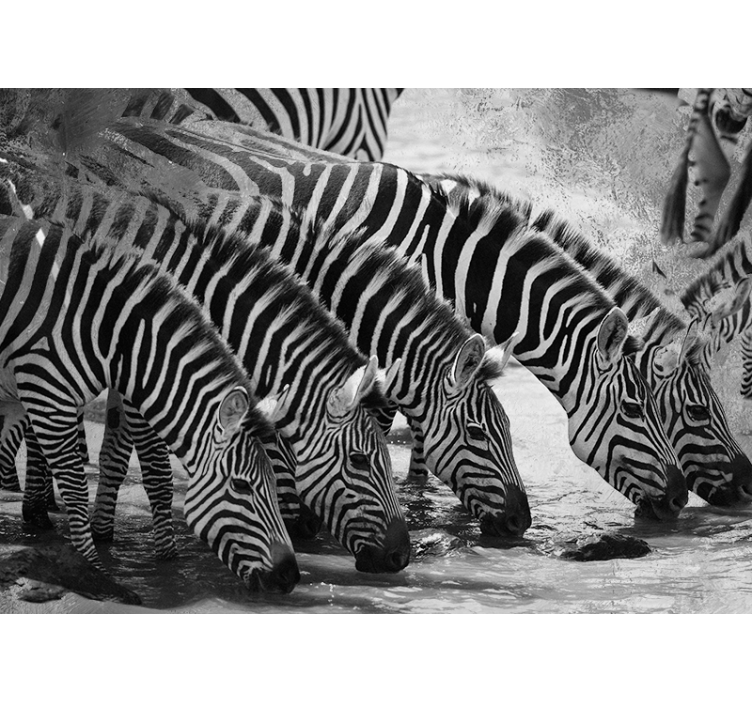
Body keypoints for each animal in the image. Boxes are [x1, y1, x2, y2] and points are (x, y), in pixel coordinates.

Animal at [0, 214, 300, 592]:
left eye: (273, 482)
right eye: (241, 486)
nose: (291, 576)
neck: (106, 330)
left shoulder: (24, 397)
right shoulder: (48, 396)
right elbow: (76, 486)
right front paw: (93, 570)